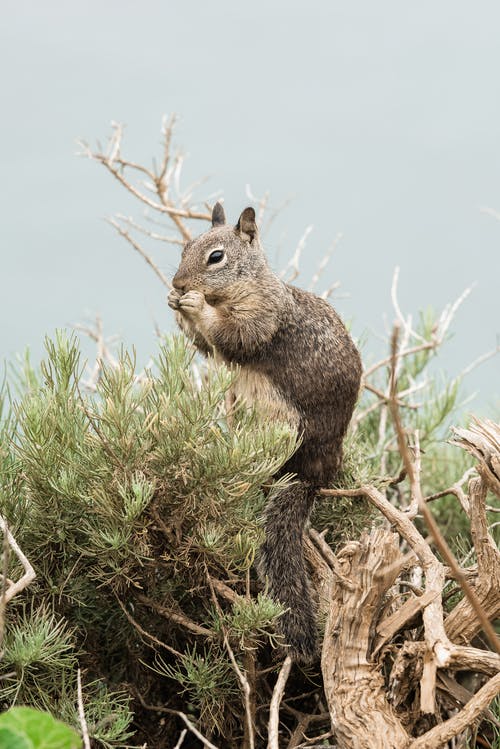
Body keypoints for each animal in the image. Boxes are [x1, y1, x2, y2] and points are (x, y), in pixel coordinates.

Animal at [170, 202, 362, 656]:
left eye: (216, 257)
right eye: (185, 248)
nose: (177, 282)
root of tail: (317, 472)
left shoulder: (263, 315)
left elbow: (233, 336)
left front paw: (194, 305)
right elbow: (206, 346)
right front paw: (175, 303)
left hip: (284, 426)